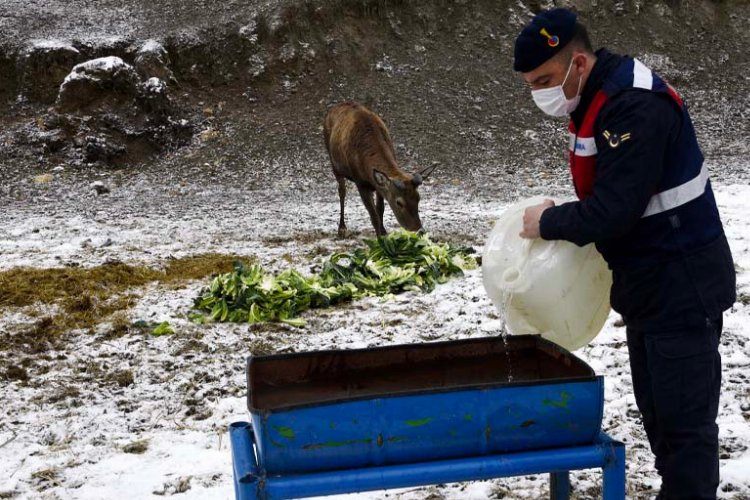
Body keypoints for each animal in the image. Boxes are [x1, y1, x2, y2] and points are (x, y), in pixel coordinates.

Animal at [322, 101, 434, 238]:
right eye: (399, 202)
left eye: (418, 198)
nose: (419, 231)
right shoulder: (360, 183)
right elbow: (373, 215)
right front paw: (379, 237)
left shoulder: (378, 185)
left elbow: (380, 209)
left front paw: (384, 231)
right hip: (333, 163)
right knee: (342, 191)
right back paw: (342, 227)